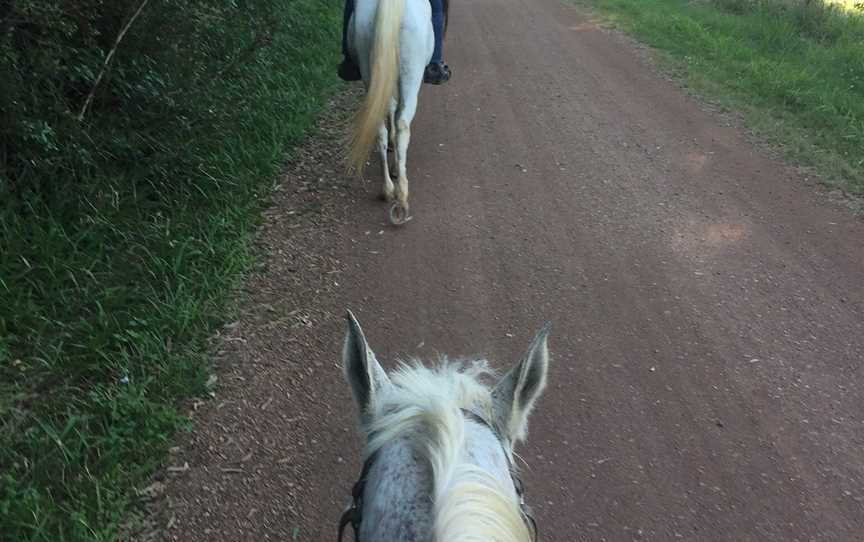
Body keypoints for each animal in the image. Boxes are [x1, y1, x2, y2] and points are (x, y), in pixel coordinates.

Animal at [346, 0, 436, 225]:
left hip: (368, 65)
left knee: (380, 128)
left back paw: (387, 189)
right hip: (412, 75)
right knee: (403, 123)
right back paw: (401, 195)